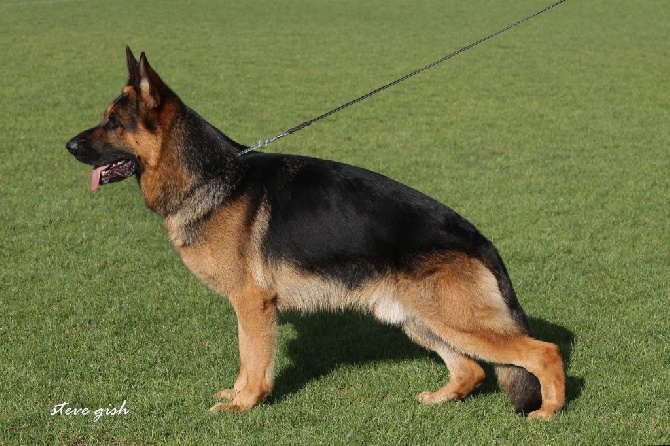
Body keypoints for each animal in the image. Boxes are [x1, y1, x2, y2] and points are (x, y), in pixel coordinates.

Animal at [65, 48, 564, 418]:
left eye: (113, 123)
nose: (67, 145)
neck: (209, 175)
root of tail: (479, 239)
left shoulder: (252, 304)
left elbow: (253, 358)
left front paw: (245, 404)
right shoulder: (249, 306)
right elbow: (246, 357)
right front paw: (239, 396)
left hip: (453, 320)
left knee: (544, 351)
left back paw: (548, 413)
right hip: (418, 319)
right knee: (472, 371)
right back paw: (441, 399)